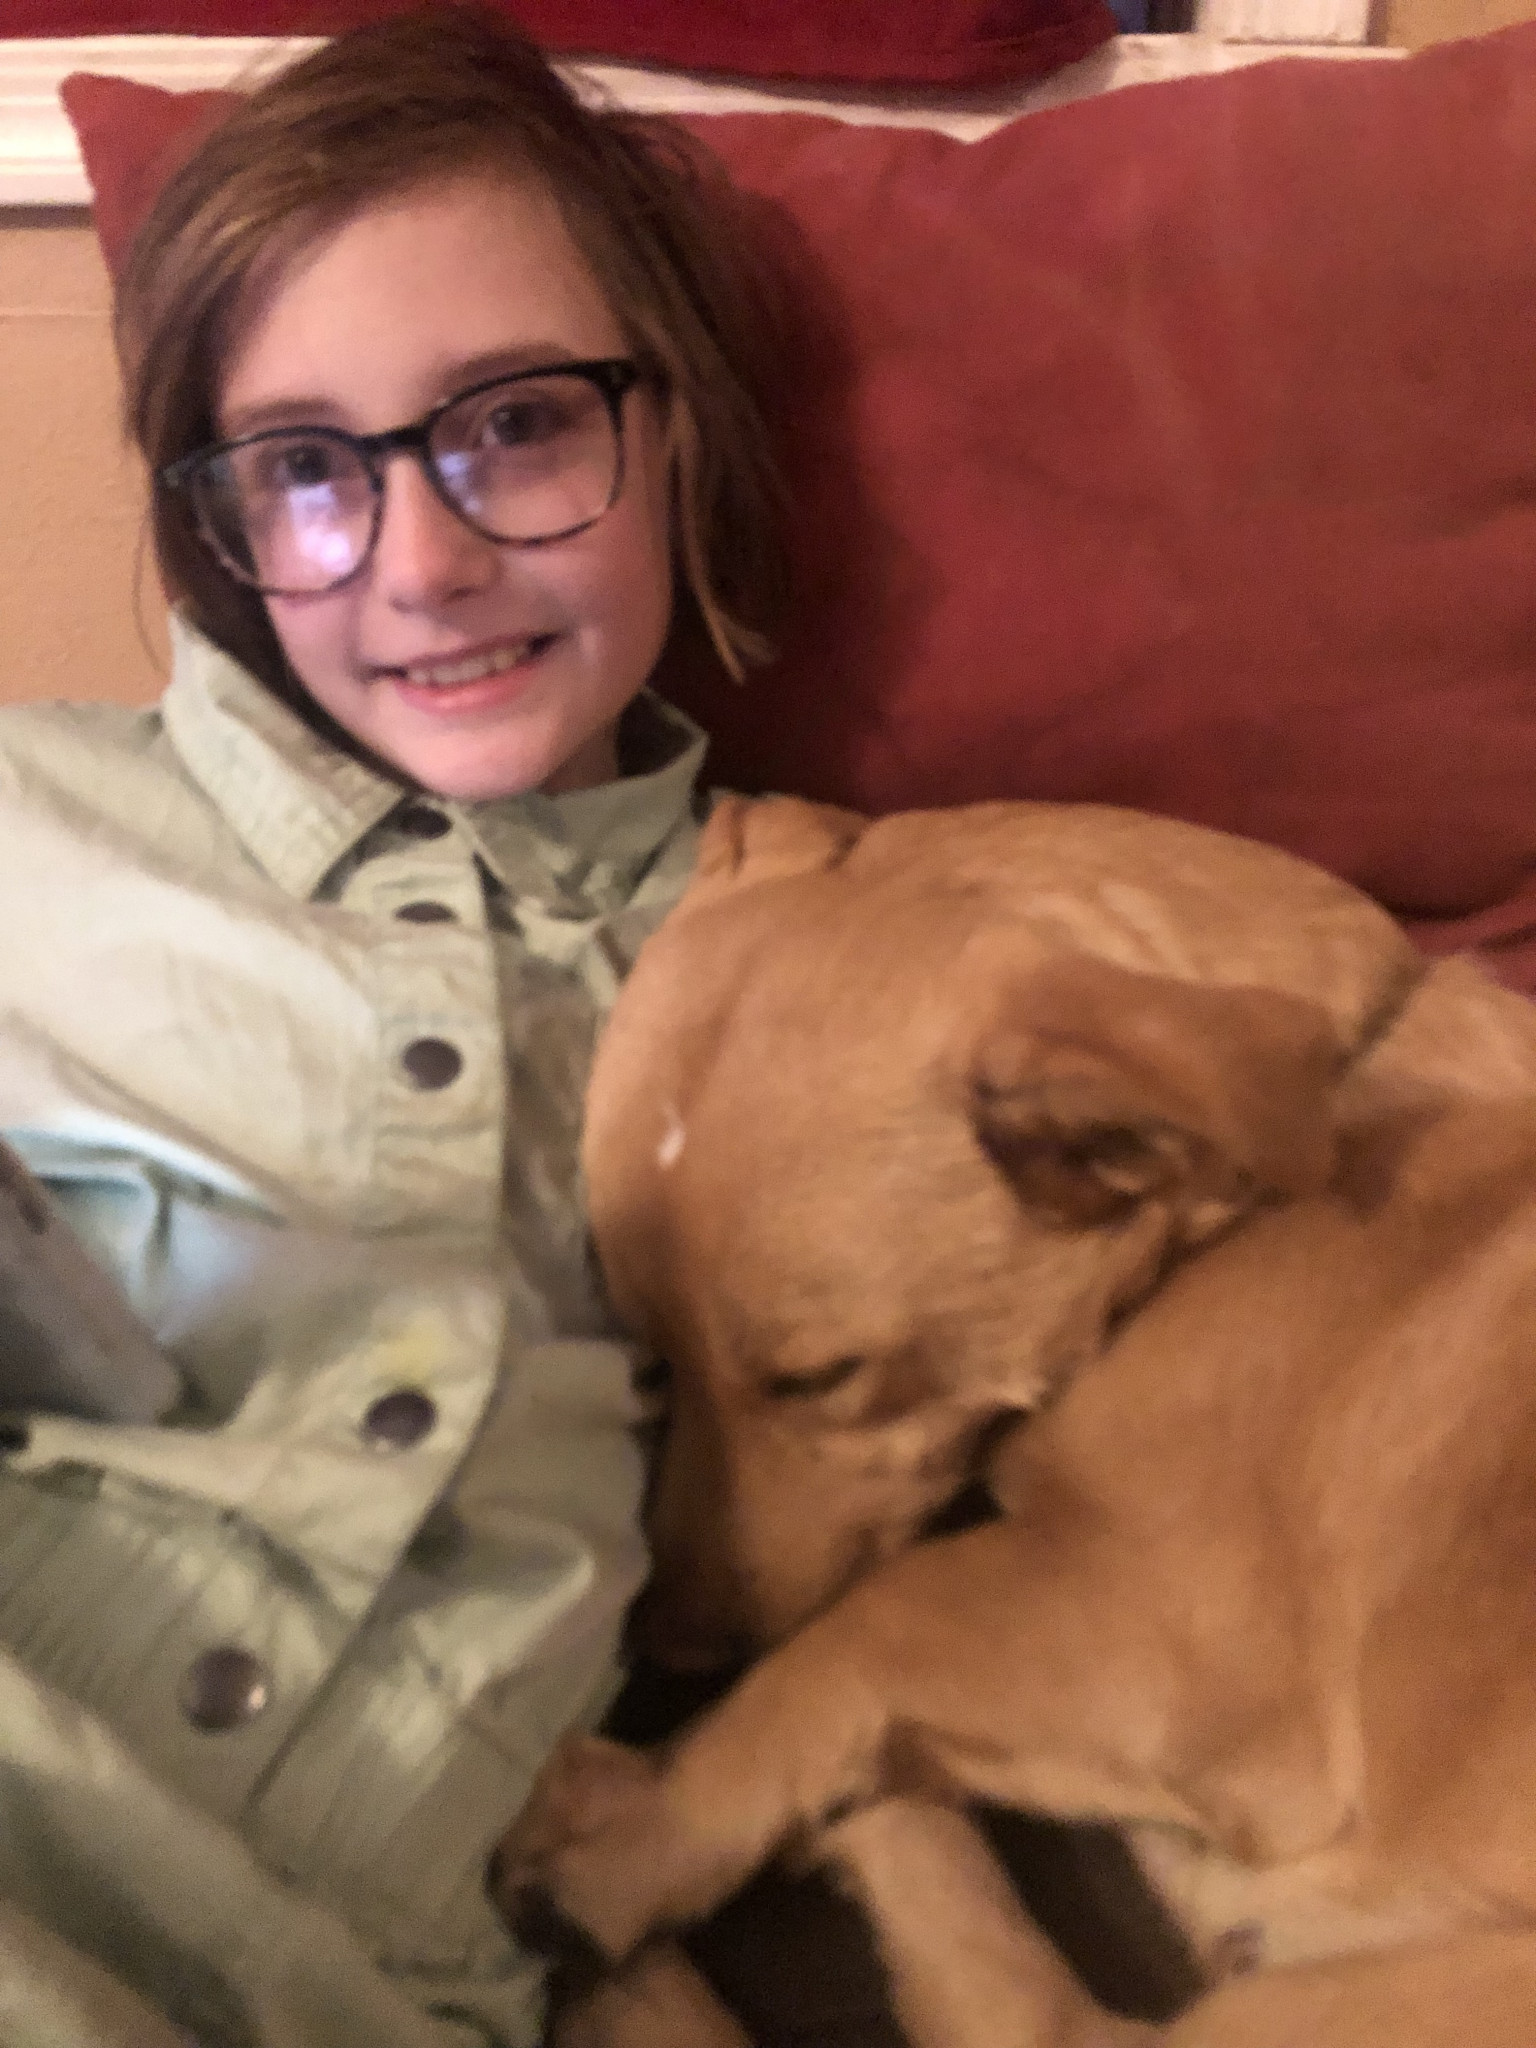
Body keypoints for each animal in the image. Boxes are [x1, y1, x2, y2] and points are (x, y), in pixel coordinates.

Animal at [498, 793, 1536, 2046]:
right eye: (652, 1350)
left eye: (820, 1375)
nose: (670, 1647)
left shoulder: (1185, 1634)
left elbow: (864, 1627)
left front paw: (644, 1822)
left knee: (1054, 2021)